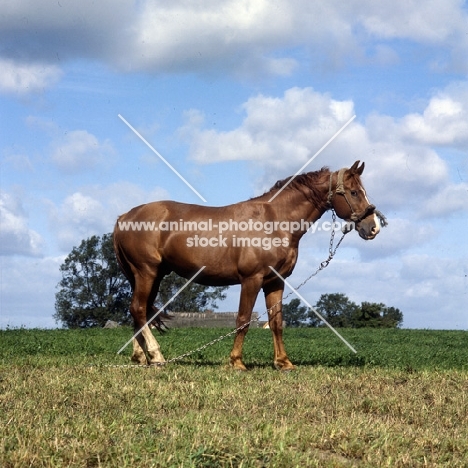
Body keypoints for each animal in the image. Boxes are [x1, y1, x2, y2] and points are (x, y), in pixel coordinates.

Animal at [114, 161, 384, 370]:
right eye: (353, 192)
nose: (373, 227)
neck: (275, 221)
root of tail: (124, 217)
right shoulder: (251, 279)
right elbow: (243, 319)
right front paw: (236, 362)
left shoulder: (275, 282)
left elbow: (276, 322)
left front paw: (283, 362)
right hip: (146, 272)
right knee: (139, 309)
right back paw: (157, 356)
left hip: (154, 275)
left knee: (141, 312)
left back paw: (141, 357)